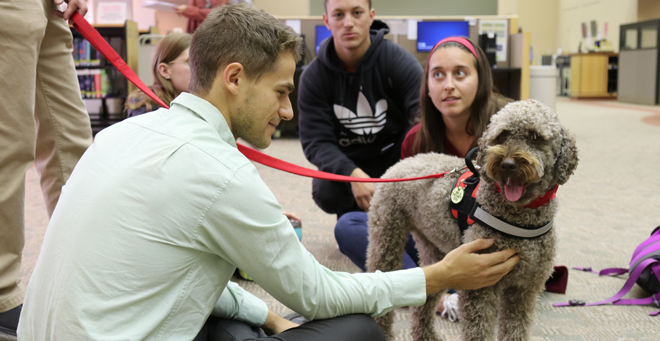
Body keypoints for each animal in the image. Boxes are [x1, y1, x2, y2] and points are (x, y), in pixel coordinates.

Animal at [366, 99, 576, 338]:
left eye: (535, 137)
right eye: (502, 135)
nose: (508, 164)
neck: (520, 218)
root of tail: (404, 162)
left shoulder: (524, 289)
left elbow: (516, 330)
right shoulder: (479, 288)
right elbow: (478, 332)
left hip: (437, 253)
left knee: (424, 299)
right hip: (387, 238)